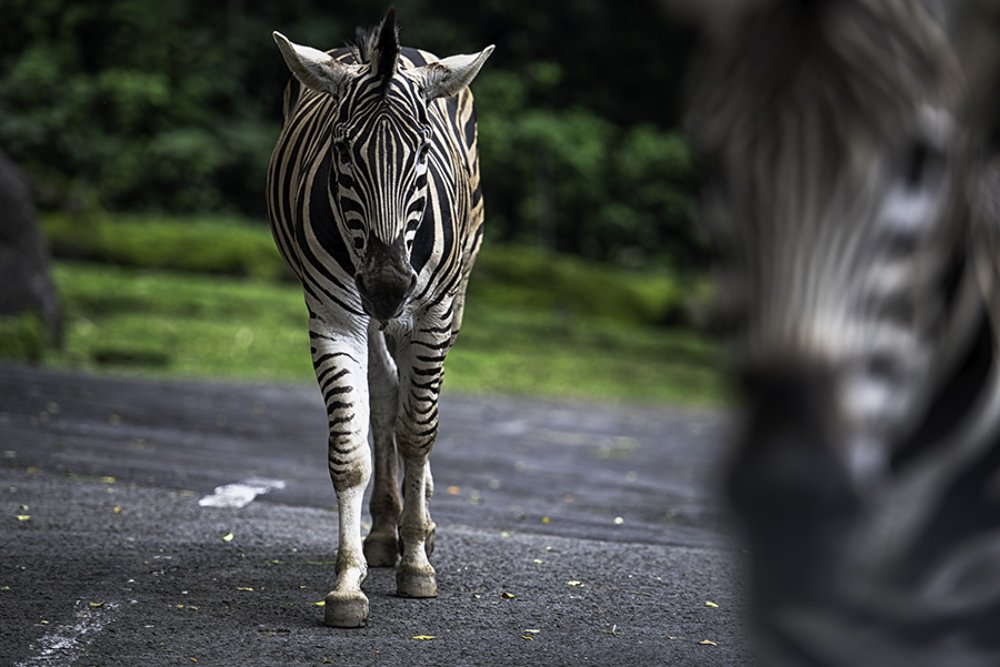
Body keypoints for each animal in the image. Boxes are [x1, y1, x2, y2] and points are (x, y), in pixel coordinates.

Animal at [266, 10, 493, 627]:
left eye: (423, 150)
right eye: (343, 150)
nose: (389, 284)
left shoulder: (432, 315)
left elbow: (420, 432)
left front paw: (417, 561)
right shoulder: (334, 316)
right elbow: (351, 451)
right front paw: (347, 584)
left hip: (450, 301)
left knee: (412, 407)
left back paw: (417, 525)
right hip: (371, 321)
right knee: (387, 395)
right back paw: (385, 529)